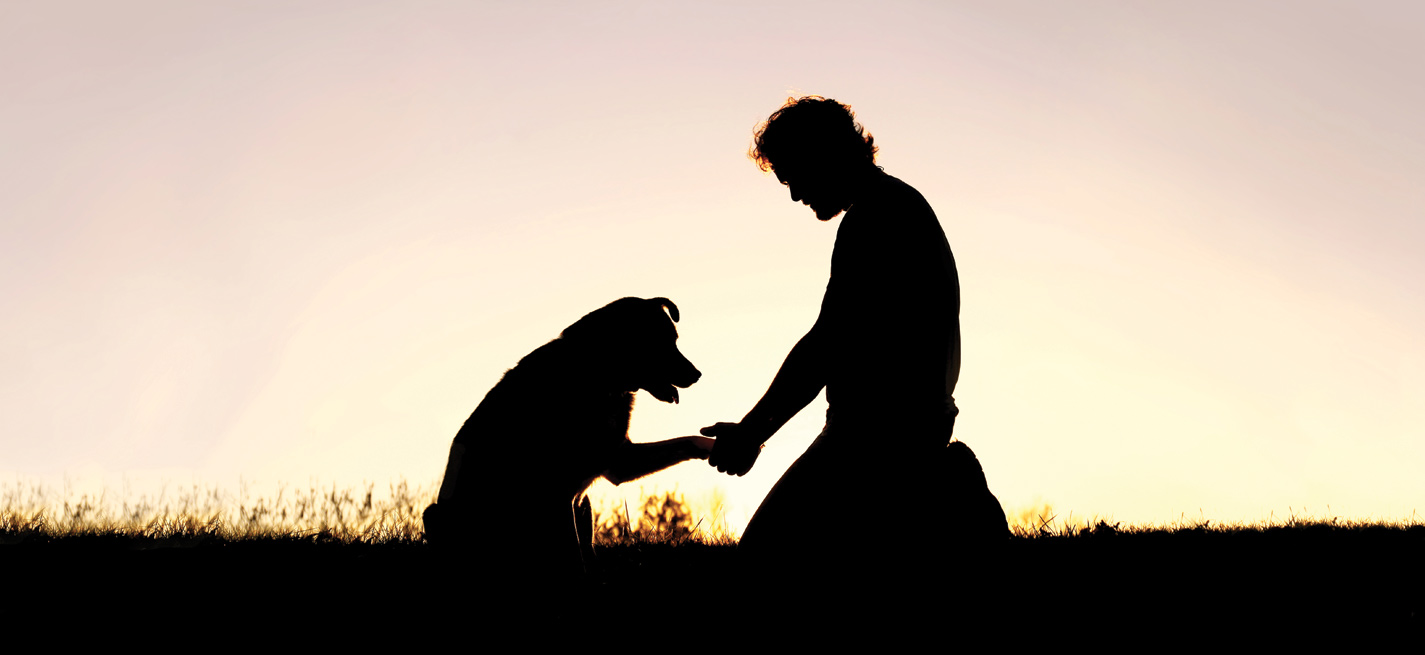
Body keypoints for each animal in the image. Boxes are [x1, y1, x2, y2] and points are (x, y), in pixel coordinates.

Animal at [421, 296, 712, 572]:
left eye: (674, 340)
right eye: (661, 342)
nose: (697, 374)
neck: (597, 377)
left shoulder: (617, 462)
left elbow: (686, 442)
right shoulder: (558, 493)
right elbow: (573, 556)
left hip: (584, 506)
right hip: (437, 515)